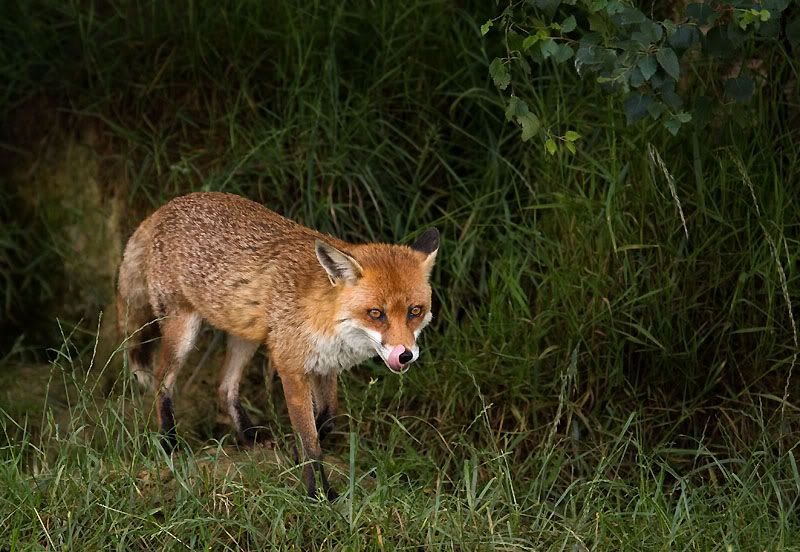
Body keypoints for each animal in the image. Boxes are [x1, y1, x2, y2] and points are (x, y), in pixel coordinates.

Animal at [116, 191, 438, 500]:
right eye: (376, 313)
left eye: (414, 311)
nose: (405, 355)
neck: (324, 315)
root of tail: (166, 206)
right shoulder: (291, 369)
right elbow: (310, 440)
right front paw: (318, 493)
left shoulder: (325, 367)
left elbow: (327, 419)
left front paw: (295, 453)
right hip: (183, 330)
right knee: (163, 381)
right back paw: (168, 442)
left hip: (245, 338)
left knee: (224, 387)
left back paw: (248, 436)